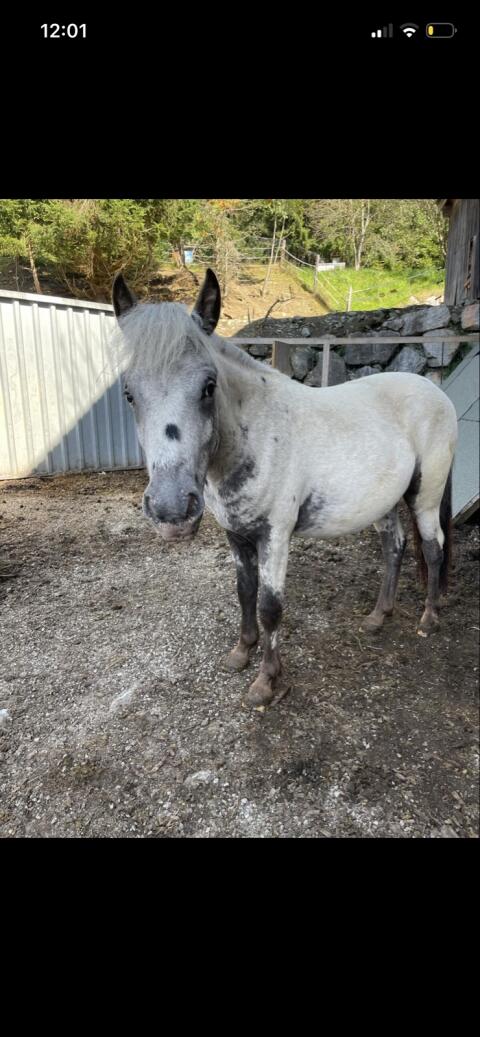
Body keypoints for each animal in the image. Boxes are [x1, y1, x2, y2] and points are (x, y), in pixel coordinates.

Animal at [111, 268, 458, 708]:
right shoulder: (237, 535)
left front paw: (266, 682)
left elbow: (270, 607)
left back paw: (429, 619)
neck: (258, 433)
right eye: (129, 393)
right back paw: (379, 617)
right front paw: (241, 652)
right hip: (384, 504)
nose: (171, 510)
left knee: (433, 549)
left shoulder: (275, 536)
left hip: (425, 497)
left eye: (208, 386)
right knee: (393, 548)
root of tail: (437, 392)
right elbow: (244, 592)